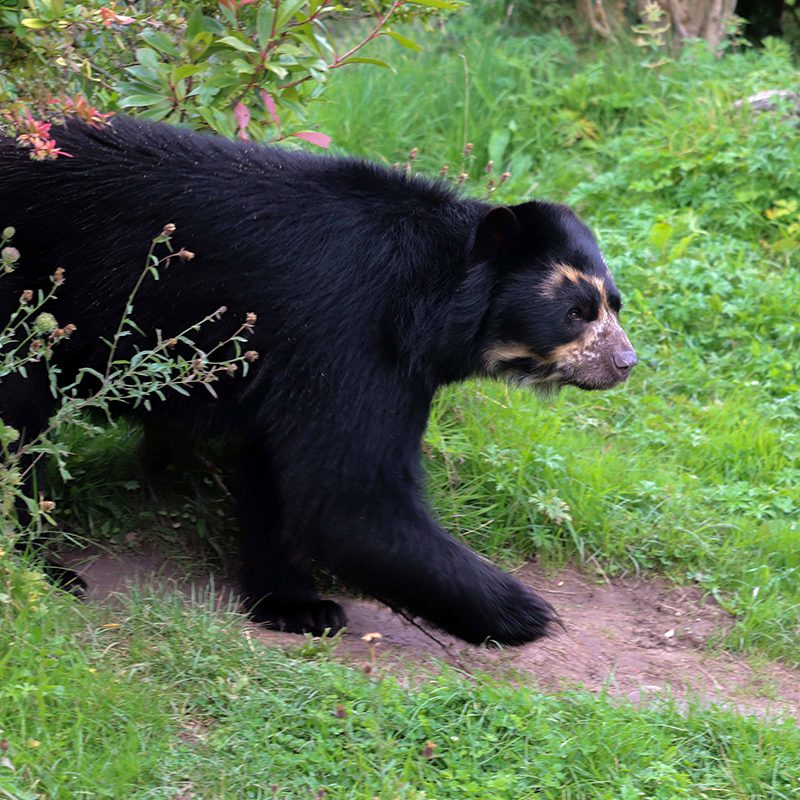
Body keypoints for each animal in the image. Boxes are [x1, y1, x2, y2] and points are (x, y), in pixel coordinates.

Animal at [1, 117, 636, 644]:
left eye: (615, 305)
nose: (625, 362)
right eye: (576, 312)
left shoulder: (303, 363)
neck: (431, 298)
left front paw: (297, 606)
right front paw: (527, 612)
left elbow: (281, 476)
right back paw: (49, 567)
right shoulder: (353, 335)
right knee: (20, 427)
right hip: (25, 306)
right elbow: (351, 497)